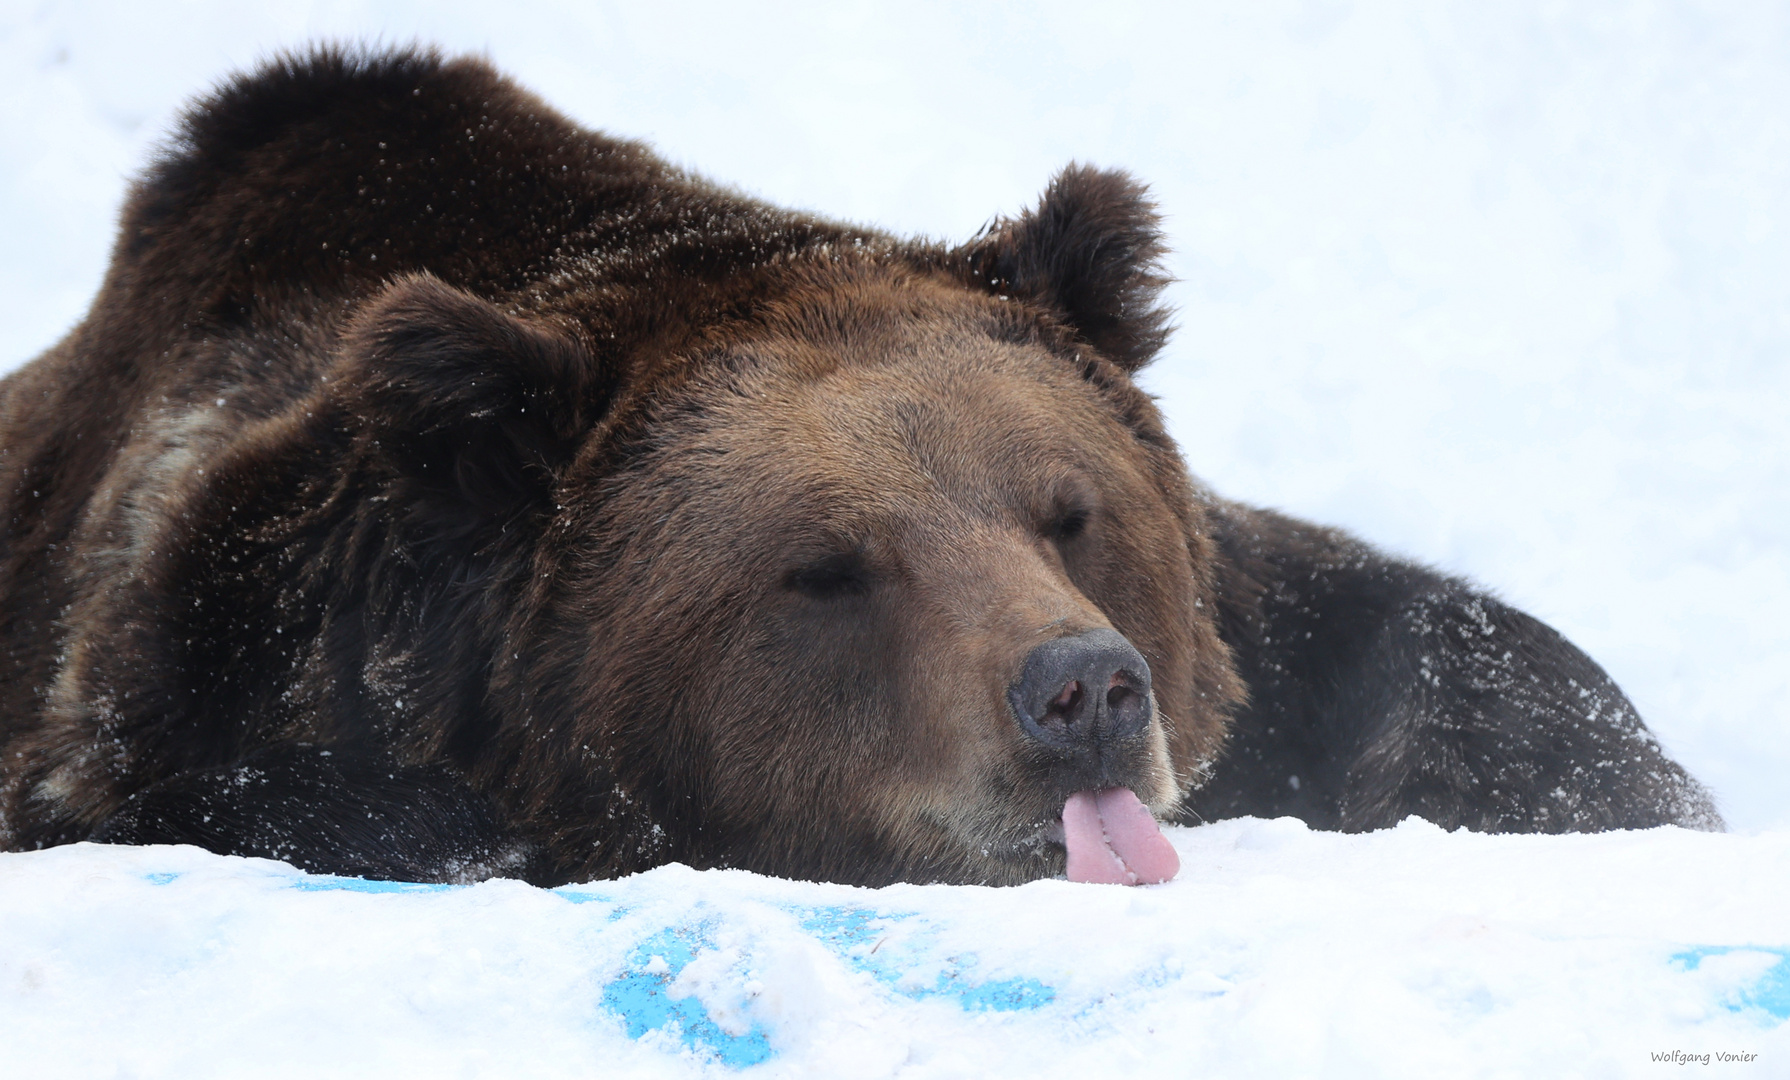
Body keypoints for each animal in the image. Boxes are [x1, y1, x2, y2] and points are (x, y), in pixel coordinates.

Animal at [0, 46, 1718, 888]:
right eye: (823, 567)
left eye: (1066, 513)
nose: (1082, 691)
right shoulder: (193, 656)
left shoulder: (1275, 635)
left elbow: (1470, 670)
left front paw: (1619, 796)